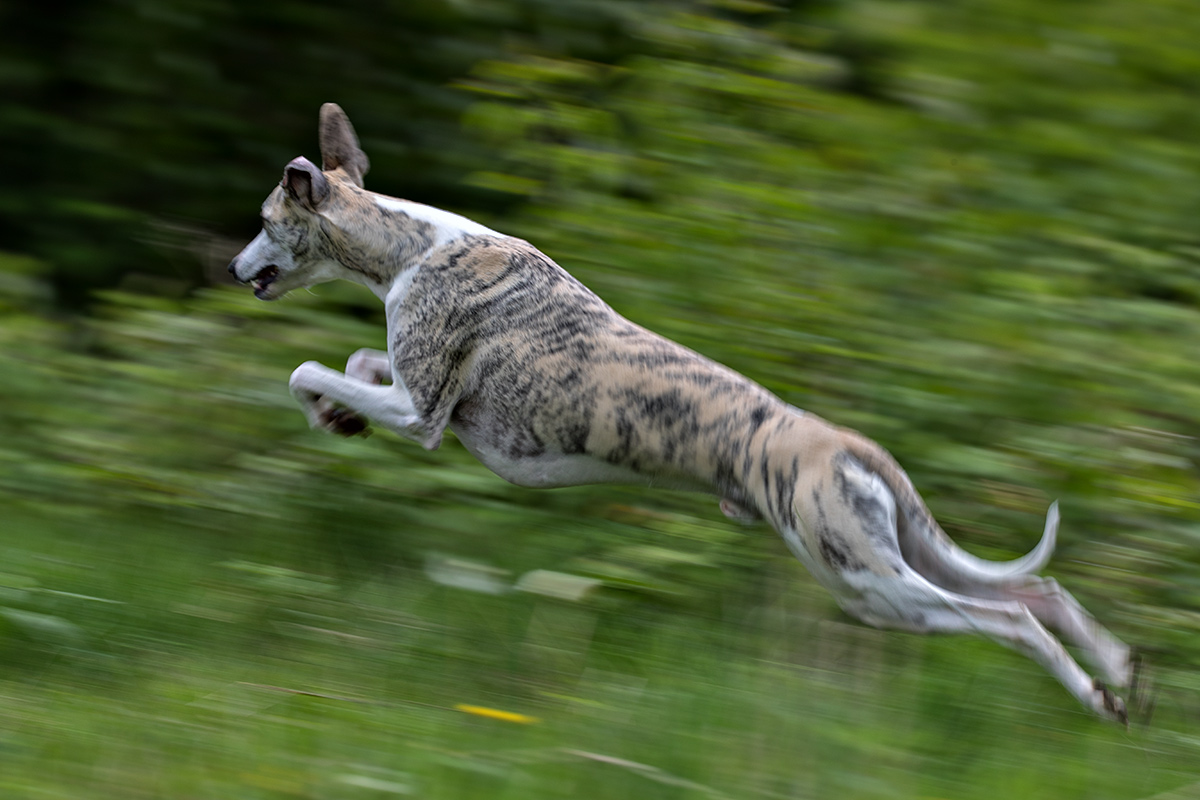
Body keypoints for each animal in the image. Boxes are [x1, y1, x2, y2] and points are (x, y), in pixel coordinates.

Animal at [231, 103, 1132, 724]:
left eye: (266, 221)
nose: (235, 268)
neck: (410, 245)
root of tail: (850, 446)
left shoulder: (420, 413)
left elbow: (307, 368)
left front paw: (322, 405)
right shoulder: (428, 401)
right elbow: (354, 364)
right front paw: (337, 418)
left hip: (870, 582)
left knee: (1010, 619)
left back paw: (1097, 694)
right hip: (900, 555)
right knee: (1043, 591)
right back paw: (1121, 674)